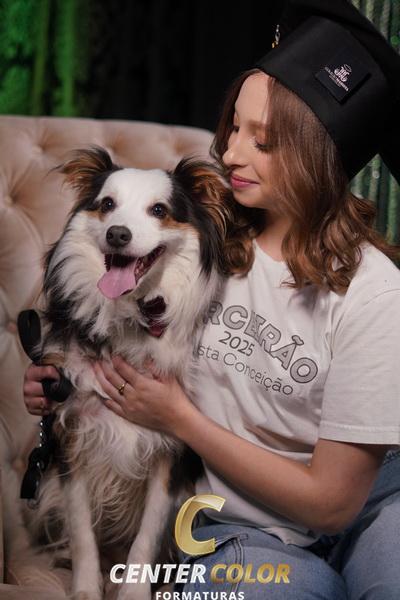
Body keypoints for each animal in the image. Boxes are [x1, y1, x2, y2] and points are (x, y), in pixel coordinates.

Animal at [21, 147, 232, 600]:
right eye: (107, 205)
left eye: (159, 210)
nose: (118, 234)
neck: (129, 316)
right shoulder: (71, 434)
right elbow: (82, 530)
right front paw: (86, 588)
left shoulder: (170, 449)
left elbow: (149, 533)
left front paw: (133, 591)